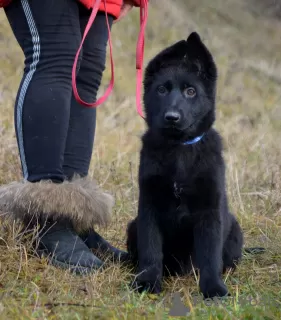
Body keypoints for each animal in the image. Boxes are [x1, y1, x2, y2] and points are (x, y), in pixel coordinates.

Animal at [126, 31, 243, 298]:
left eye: (190, 92)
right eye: (161, 90)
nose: (172, 117)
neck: (179, 148)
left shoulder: (210, 211)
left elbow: (210, 256)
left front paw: (213, 288)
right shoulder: (148, 207)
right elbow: (151, 249)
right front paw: (147, 281)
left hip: (235, 230)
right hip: (132, 226)